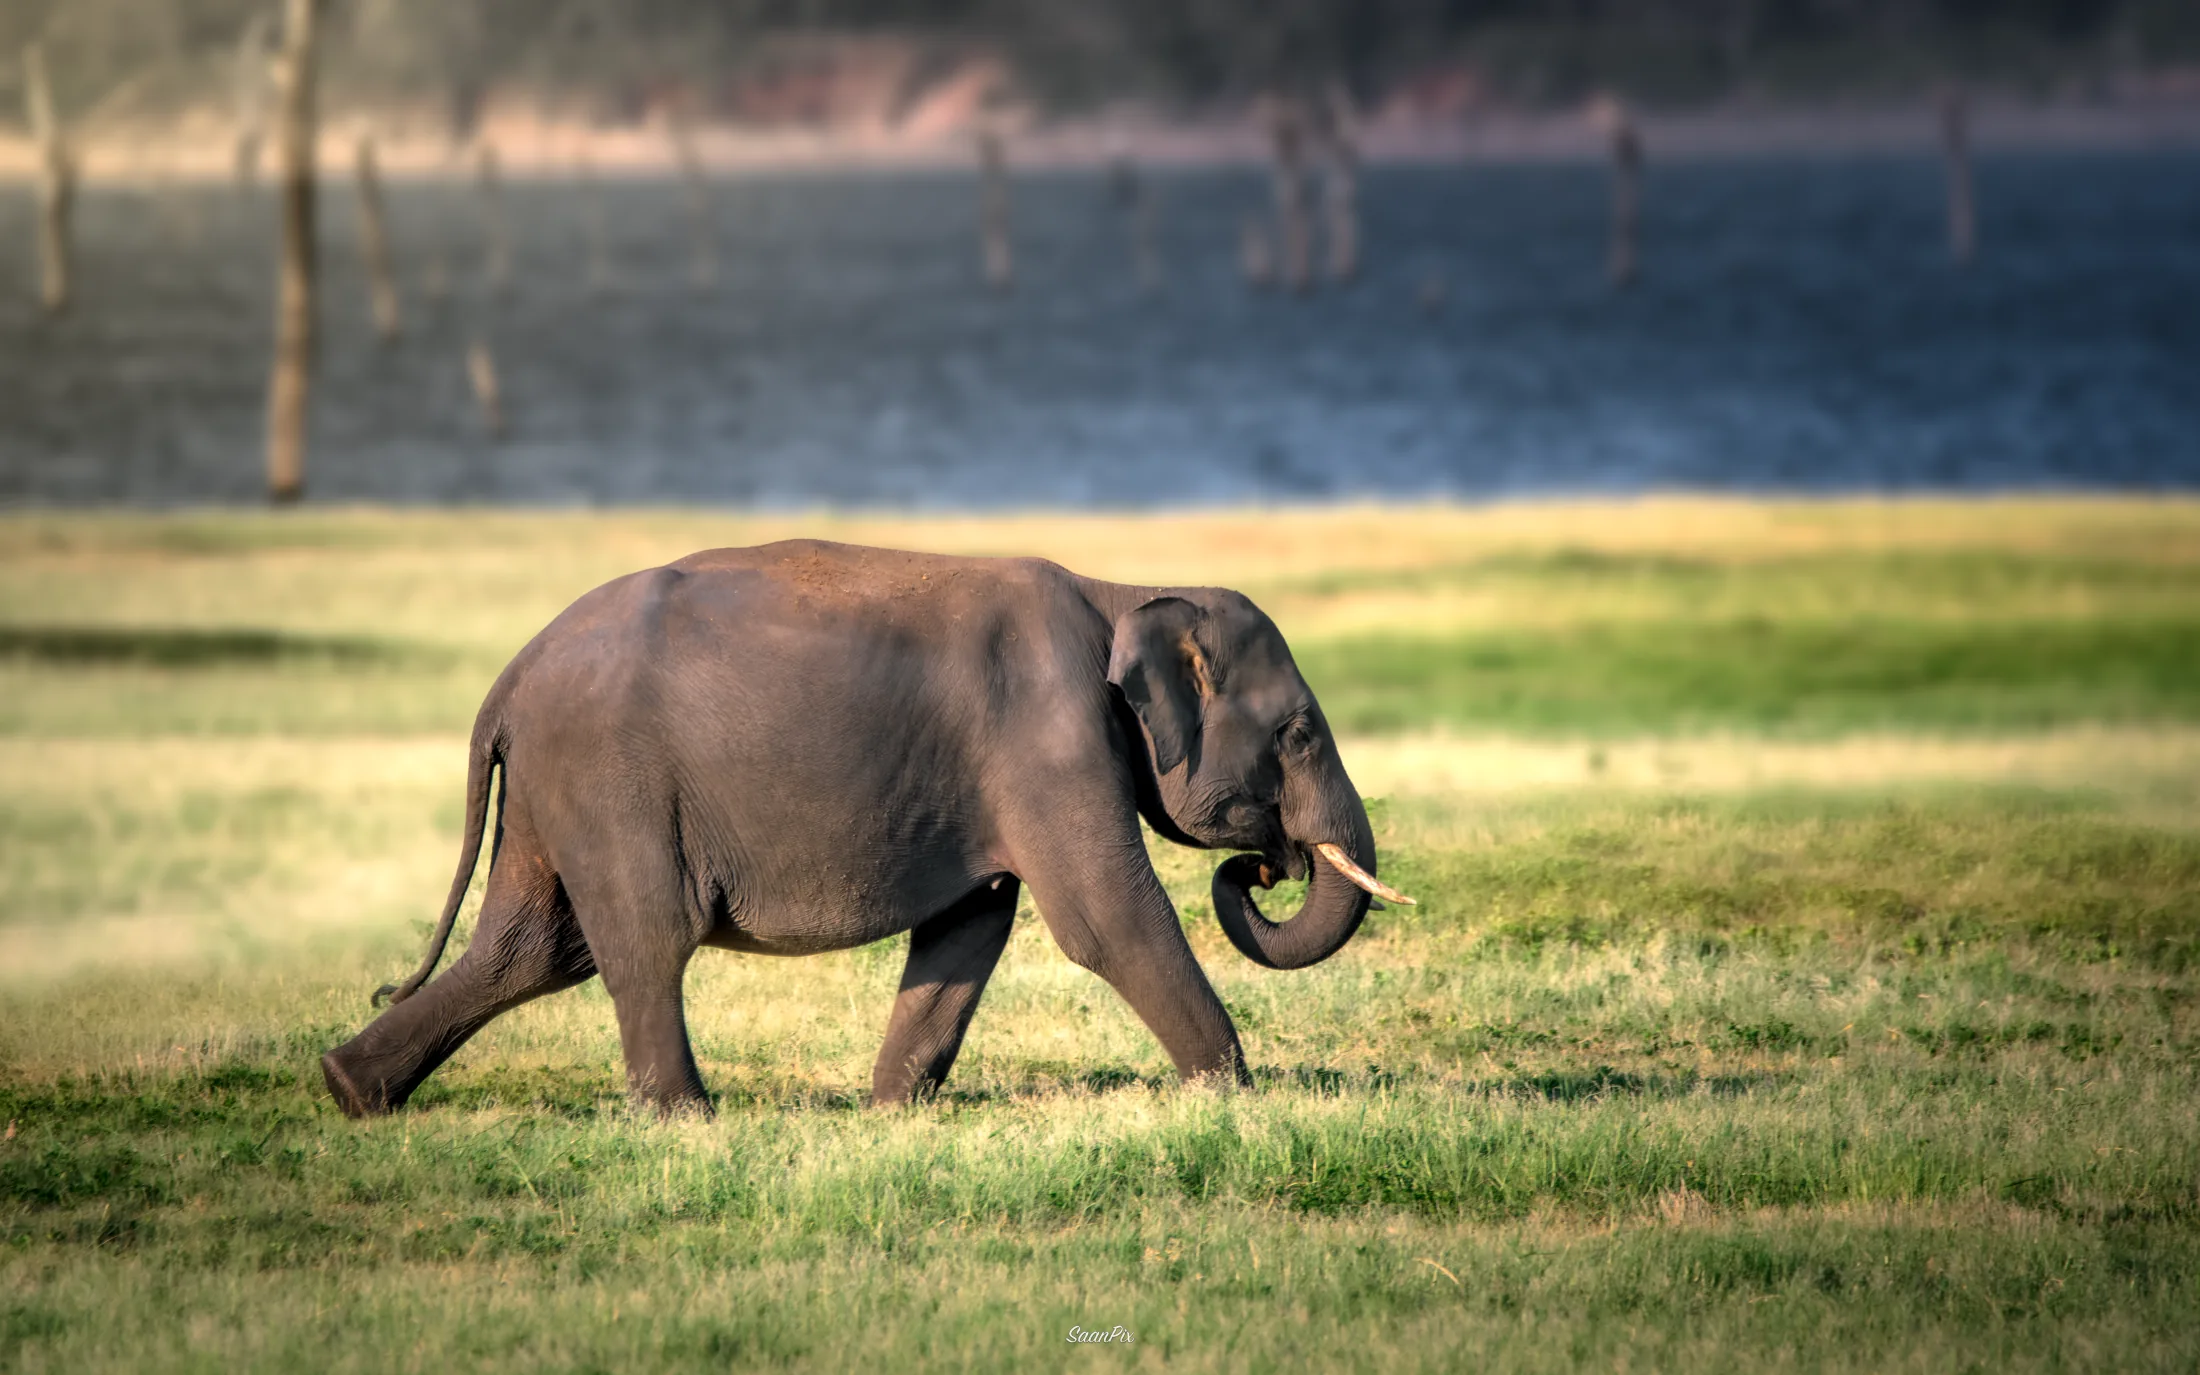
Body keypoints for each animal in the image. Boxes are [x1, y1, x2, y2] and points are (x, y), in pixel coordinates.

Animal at [321, 540, 1410, 1116]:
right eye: (1299, 731)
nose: (1262, 869)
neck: (1122, 591)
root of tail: (508, 678)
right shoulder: (1054, 740)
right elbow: (1106, 919)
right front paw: (1237, 1101)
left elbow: (968, 929)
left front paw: (889, 1112)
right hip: (608, 780)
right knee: (639, 941)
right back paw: (687, 1120)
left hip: (554, 790)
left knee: (532, 948)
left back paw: (350, 1088)